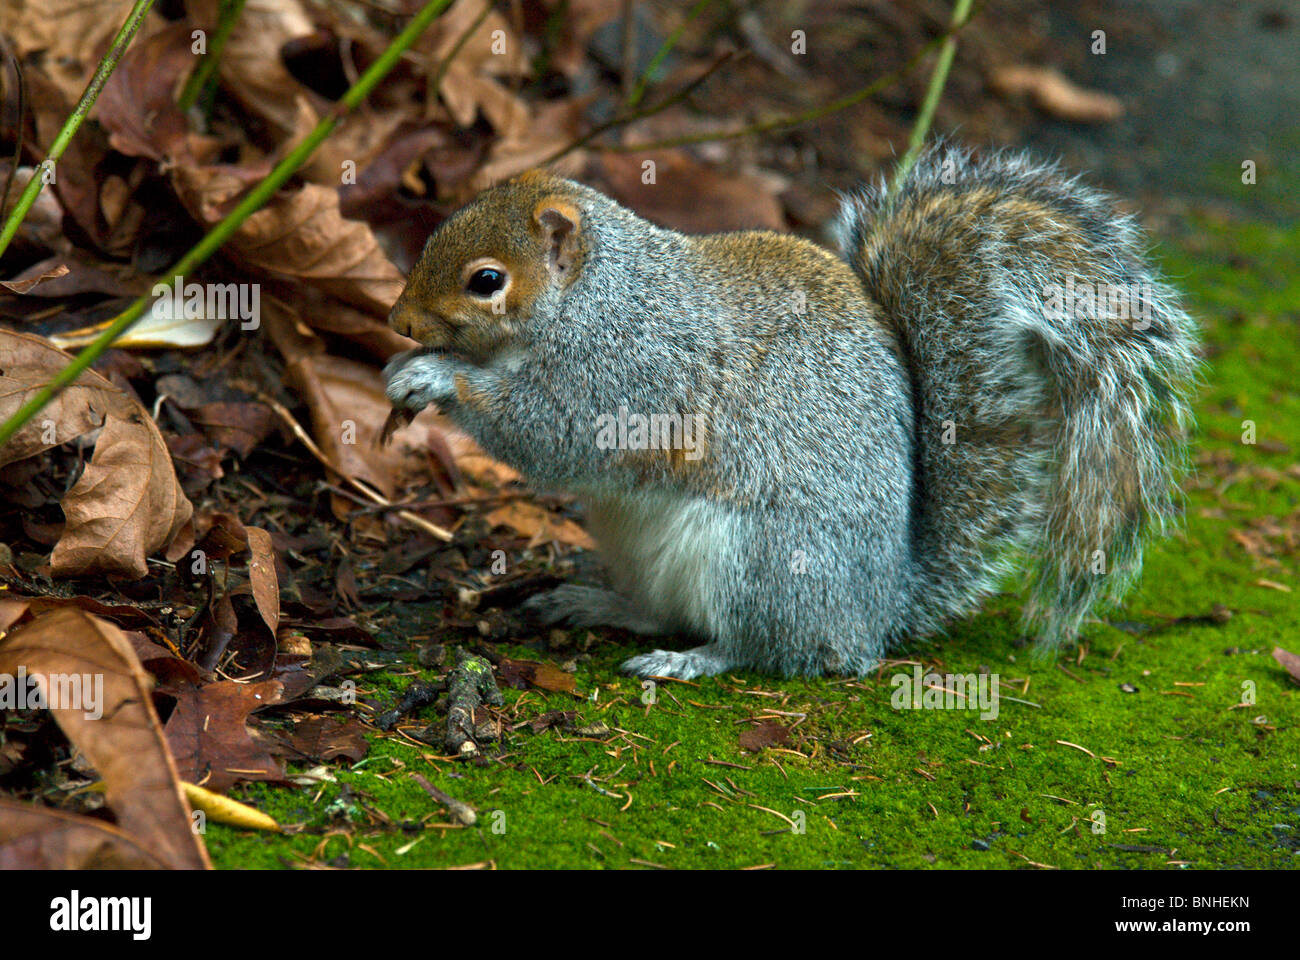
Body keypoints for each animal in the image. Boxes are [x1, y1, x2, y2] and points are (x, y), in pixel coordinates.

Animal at [382, 143, 1196, 681]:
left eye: (487, 280)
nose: (397, 321)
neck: (598, 298)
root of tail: (878, 607)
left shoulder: (632, 375)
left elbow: (552, 431)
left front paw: (437, 377)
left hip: (765, 559)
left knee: (772, 646)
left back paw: (690, 660)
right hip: (641, 545)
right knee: (667, 607)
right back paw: (597, 604)